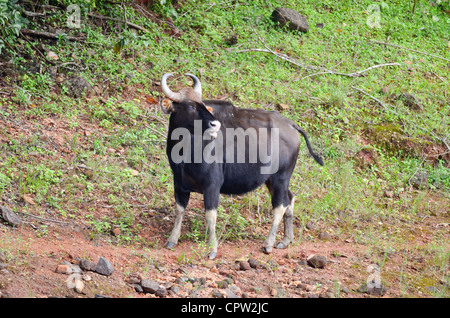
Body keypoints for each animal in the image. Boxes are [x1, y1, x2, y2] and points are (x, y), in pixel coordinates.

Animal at [160, 73, 322, 260]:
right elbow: (179, 210)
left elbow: (210, 215)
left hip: (280, 177)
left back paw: (268, 243)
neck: (187, 152)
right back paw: (286, 239)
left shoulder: (212, 185)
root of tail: (291, 125)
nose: (214, 124)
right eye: (190, 106)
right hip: (273, 180)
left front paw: (212, 248)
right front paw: (172, 239)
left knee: (279, 206)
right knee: (290, 198)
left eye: (203, 105)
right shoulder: (179, 184)